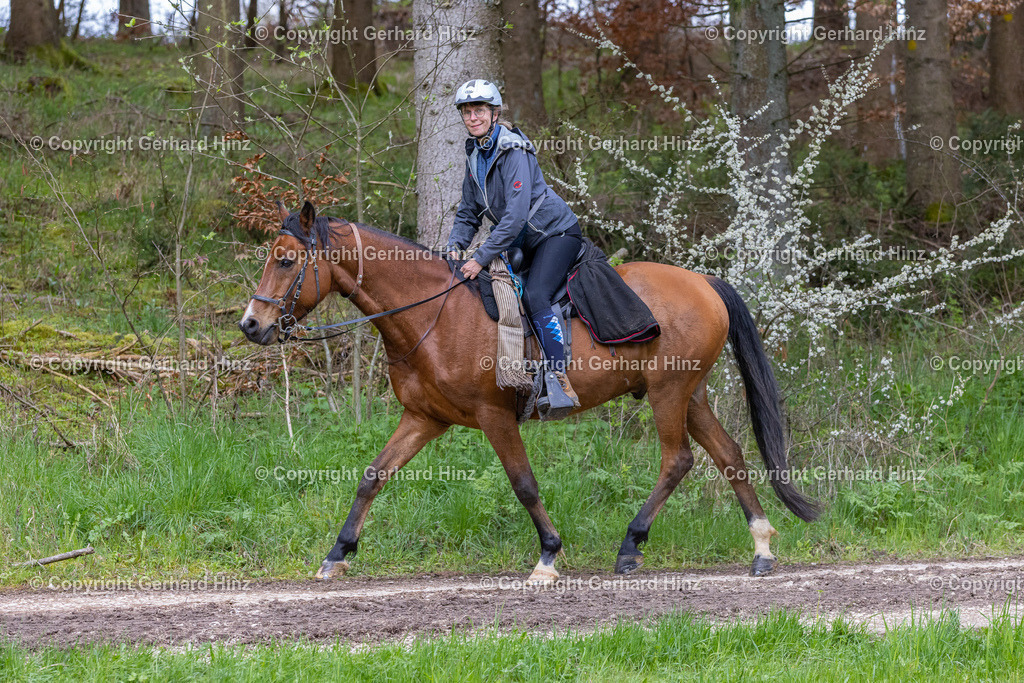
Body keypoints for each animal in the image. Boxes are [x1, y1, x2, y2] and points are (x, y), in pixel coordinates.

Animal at [237, 200, 815, 585]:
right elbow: (371, 476)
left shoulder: (494, 416)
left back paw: (631, 545)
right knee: (730, 455)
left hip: (669, 392)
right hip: (688, 393)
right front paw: (337, 553)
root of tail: (703, 282)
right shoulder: (423, 418)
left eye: (286, 261)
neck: (434, 314)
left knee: (678, 460)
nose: (251, 325)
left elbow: (524, 485)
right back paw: (762, 548)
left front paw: (548, 556)